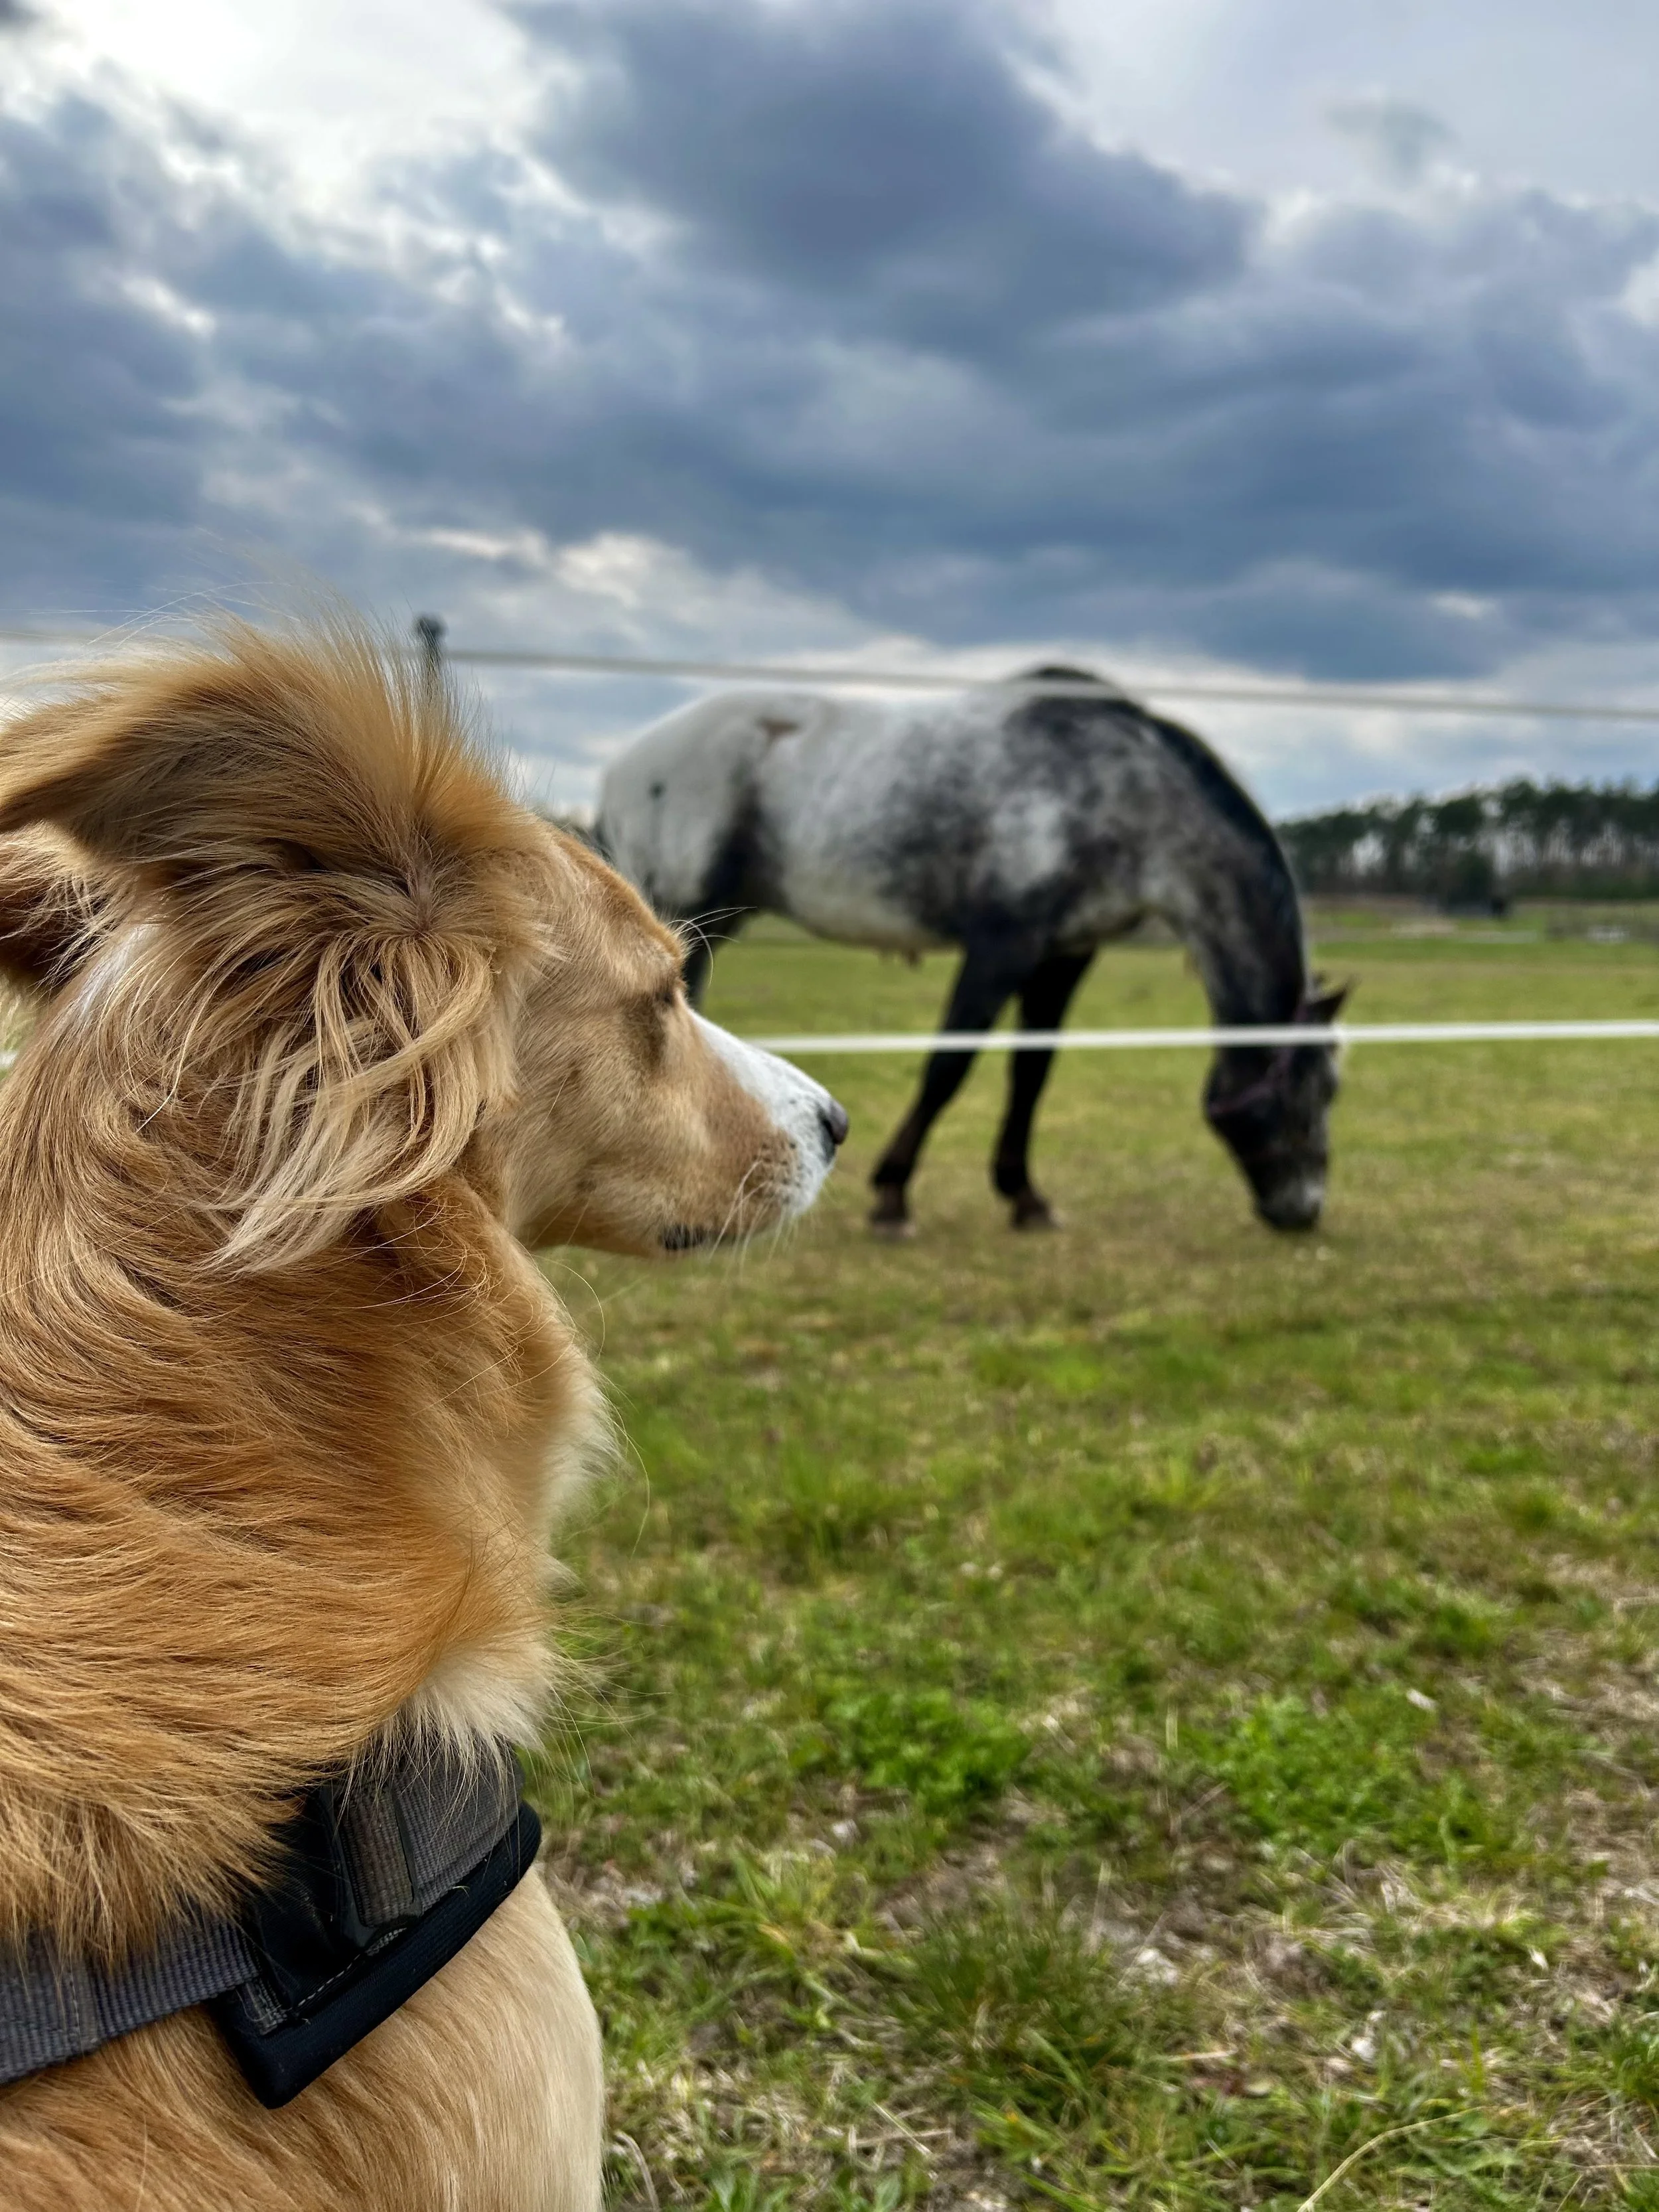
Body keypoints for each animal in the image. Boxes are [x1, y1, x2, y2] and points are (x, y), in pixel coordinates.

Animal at [596, 668, 1346, 1234]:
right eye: (1323, 1089)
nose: (1303, 1211)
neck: (1120, 792)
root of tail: (625, 766)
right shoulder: (1001, 945)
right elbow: (948, 1065)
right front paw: (892, 1196)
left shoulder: (1062, 956)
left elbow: (1030, 1072)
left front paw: (1025, 1198)